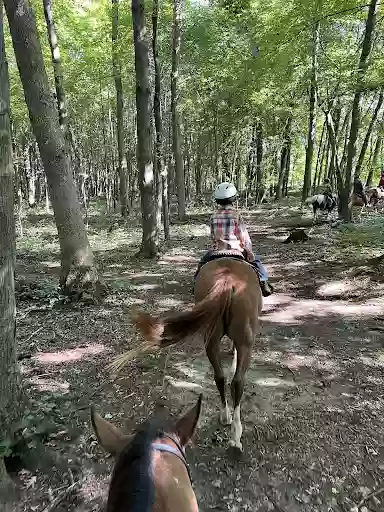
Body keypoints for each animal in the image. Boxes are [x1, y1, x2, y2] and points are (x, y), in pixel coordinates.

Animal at [132, 258, 260, 450]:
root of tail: (227, 281)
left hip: (211, 338)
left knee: (219, 377)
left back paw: (225, 415)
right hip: (244, 341)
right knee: (237, 382)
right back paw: (236, 434)